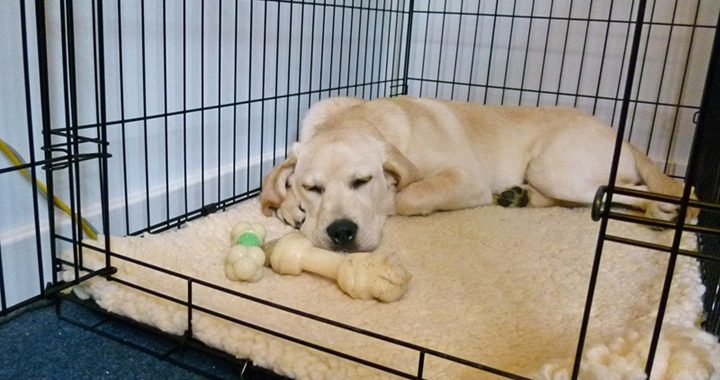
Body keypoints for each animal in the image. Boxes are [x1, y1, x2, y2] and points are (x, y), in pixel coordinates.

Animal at [258, 96, 692, 252]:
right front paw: (290, 206)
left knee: (622, 189)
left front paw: (393, 201)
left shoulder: (467, 181)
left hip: (556, 167)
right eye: (313, 188)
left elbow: (410, 194)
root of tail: (621, 135)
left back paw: (658, 212)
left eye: (362, 182)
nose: (342, 232)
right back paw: (519, 196)